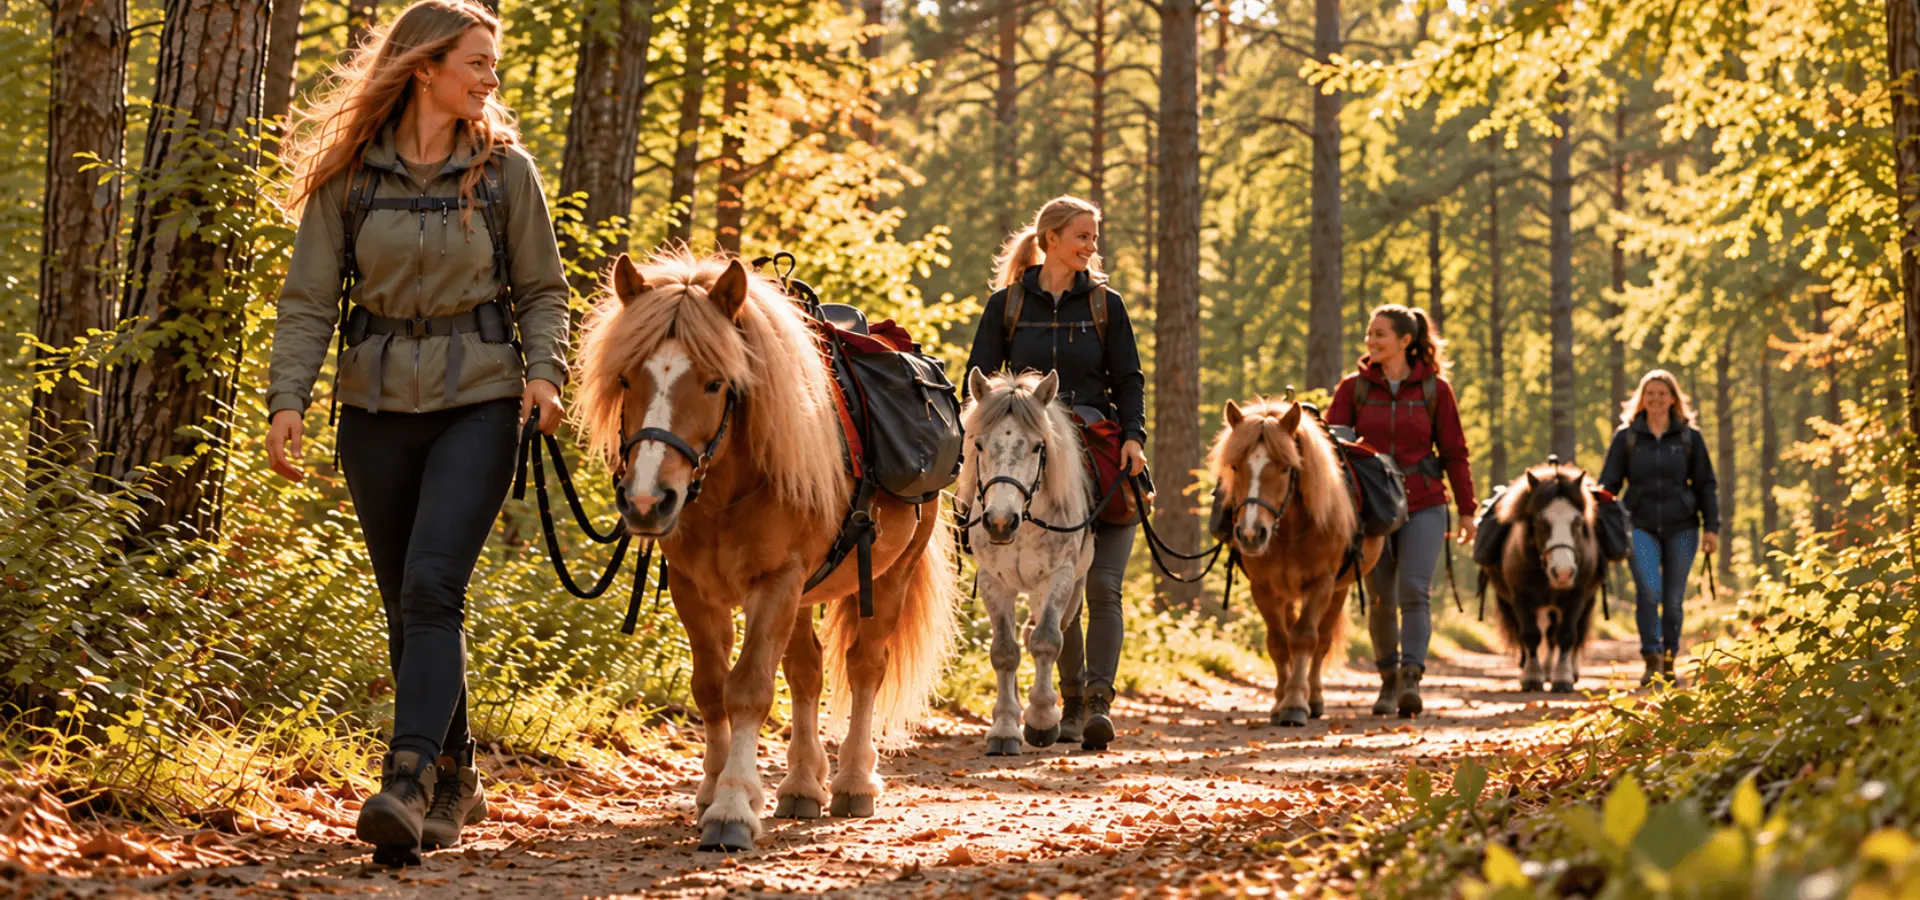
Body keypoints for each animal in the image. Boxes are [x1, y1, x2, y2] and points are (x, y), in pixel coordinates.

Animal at [575, 250, 959, 853]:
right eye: (626, 377)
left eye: (715, 383)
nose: (646, 501)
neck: (727, 490)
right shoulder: (694, 589)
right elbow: (711, 689)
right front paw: (714, 788)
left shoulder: (775, 582)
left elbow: (749, 688)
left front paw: (732, 806)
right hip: (803, 594)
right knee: (806, 672)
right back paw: (802, 782)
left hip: (891, 575)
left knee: (865, 666)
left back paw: (853, 780)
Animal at [955, 368, 1097, 756]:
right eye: (978, 444)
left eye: (1037, 446)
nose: (1001, 522)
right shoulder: (994, 581)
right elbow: (1005, 651)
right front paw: (1005, 727)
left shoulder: (1059, 577)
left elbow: (1046, 639)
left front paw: (1042, 719)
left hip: (1070, 588)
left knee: (1044, 631)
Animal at [1207, 399, 1383, 726]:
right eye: (1235, 466)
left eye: (1286, 467)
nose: (1251, 534)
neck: (1288, 532)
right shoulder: (1264, 588)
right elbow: (1278, 642)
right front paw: (1280, 702)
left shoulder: (1321, 583)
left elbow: (1304, 639)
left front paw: (1296, 704)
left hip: (1338, 591)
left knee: (1322, 640)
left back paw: (1314, 698)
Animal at [1480, 462, 1603, 693]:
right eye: (1541, 522)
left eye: (1578, 522)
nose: (1563, 572)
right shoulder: (1520, 597)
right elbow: (1530, 635)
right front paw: (1531, 677)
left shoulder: (1576, 596)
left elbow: (1567, 635)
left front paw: (1563, 678)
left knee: (1568, 634)